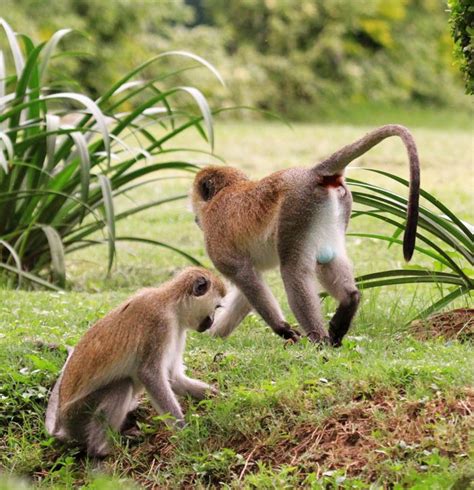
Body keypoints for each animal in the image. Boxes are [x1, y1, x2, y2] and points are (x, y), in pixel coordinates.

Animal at [45, 268, 227, 456]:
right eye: (216, 307)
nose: (212, 321)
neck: (171, 304)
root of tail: (62, 426)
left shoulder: (177, 331)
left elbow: (174, 378)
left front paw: (219, 396)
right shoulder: (159, 324)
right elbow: (150, 375)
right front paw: (185, 432)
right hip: (78, 414)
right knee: (122, 385)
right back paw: (102, 449)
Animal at [191, 126, 420, 348]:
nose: (195, 218)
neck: (223, 193)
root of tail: (311, 173)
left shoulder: (217, 243)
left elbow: (244, 276)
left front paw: (282, 328)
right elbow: (249, 284)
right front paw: (214, 333)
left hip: (296, 208)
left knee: (293, 269)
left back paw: (318, 338)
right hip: (339, 206)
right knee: (327, 260)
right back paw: (349, 301)